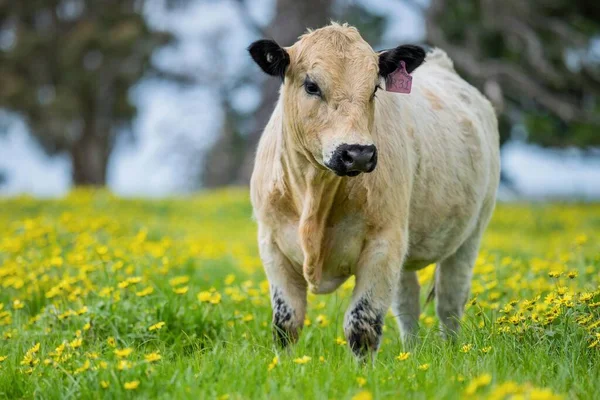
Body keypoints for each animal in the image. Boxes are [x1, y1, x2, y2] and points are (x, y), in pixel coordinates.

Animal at [246, 22, 500, 360]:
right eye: (311, 85)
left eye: (374, 89)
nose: (358, 153)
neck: (315, 194)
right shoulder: (271, 243)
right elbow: (286, 324)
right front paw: (284, 367)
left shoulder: (383, 243)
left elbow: (362, 325)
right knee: (407, 301)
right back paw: (410, 353)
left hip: (469, 235)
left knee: (450, 301)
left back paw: (451, 349)